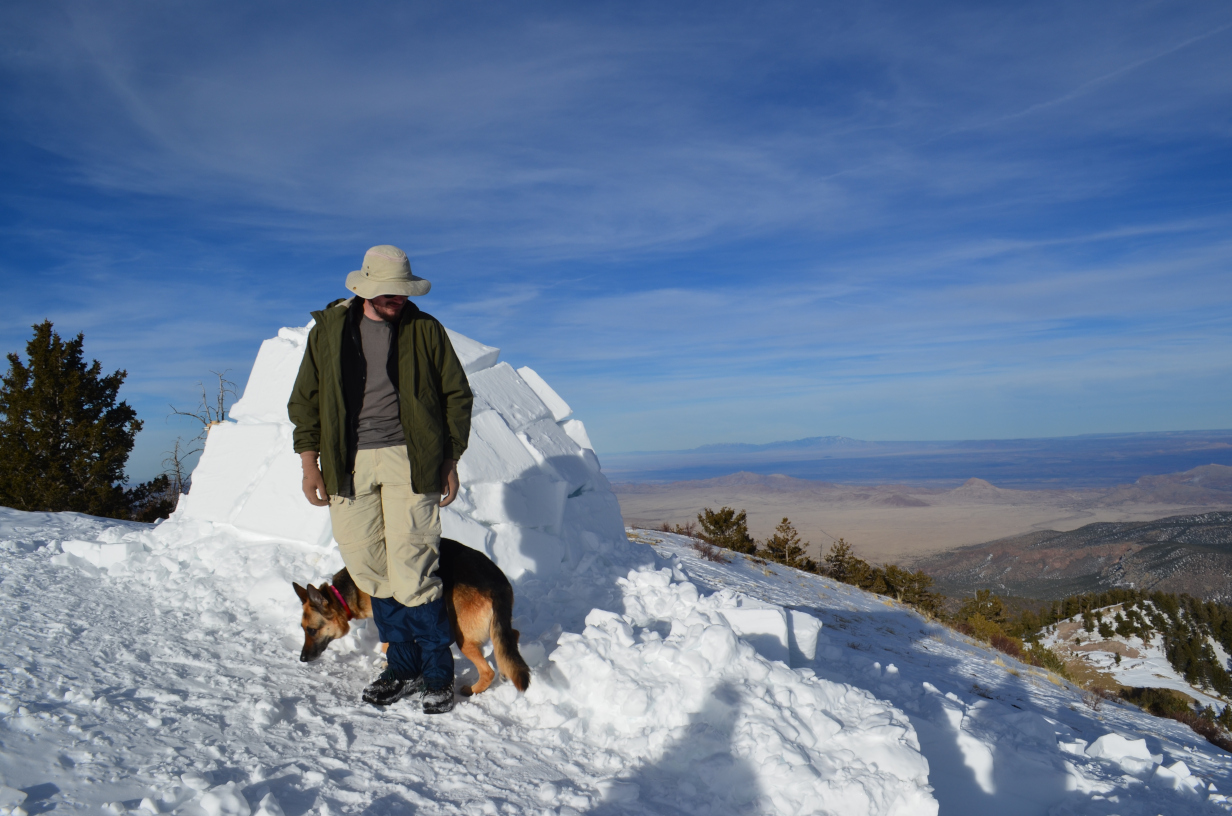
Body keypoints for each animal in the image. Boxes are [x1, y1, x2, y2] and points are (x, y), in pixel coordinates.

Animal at [298, 537, 534, 695]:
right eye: (303, 629)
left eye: (312, 630)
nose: (302, 659)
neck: (345, 593)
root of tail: (497, 584)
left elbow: (388, 645)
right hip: (491, 626)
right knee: (511, 635)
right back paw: (504, 669)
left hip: (463, 637)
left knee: (487, 671)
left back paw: (473, 689)